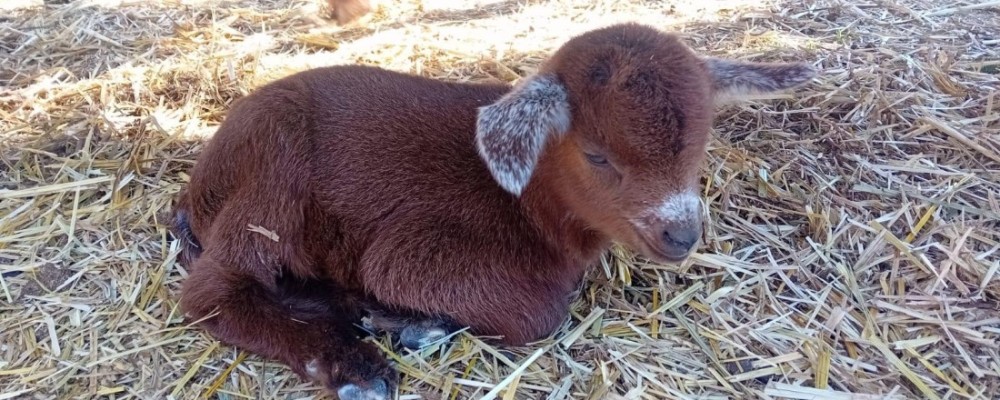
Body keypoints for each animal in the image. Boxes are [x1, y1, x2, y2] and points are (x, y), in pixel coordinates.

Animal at [171, 23, 815, 399]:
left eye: (699, 148)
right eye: (597, 155)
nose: (681, 235)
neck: (531, 208)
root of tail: (201, 179)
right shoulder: (412, 252)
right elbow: (540, 312)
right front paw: (403, 322)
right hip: (274, 169)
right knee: (214, 292)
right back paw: (357, 365)